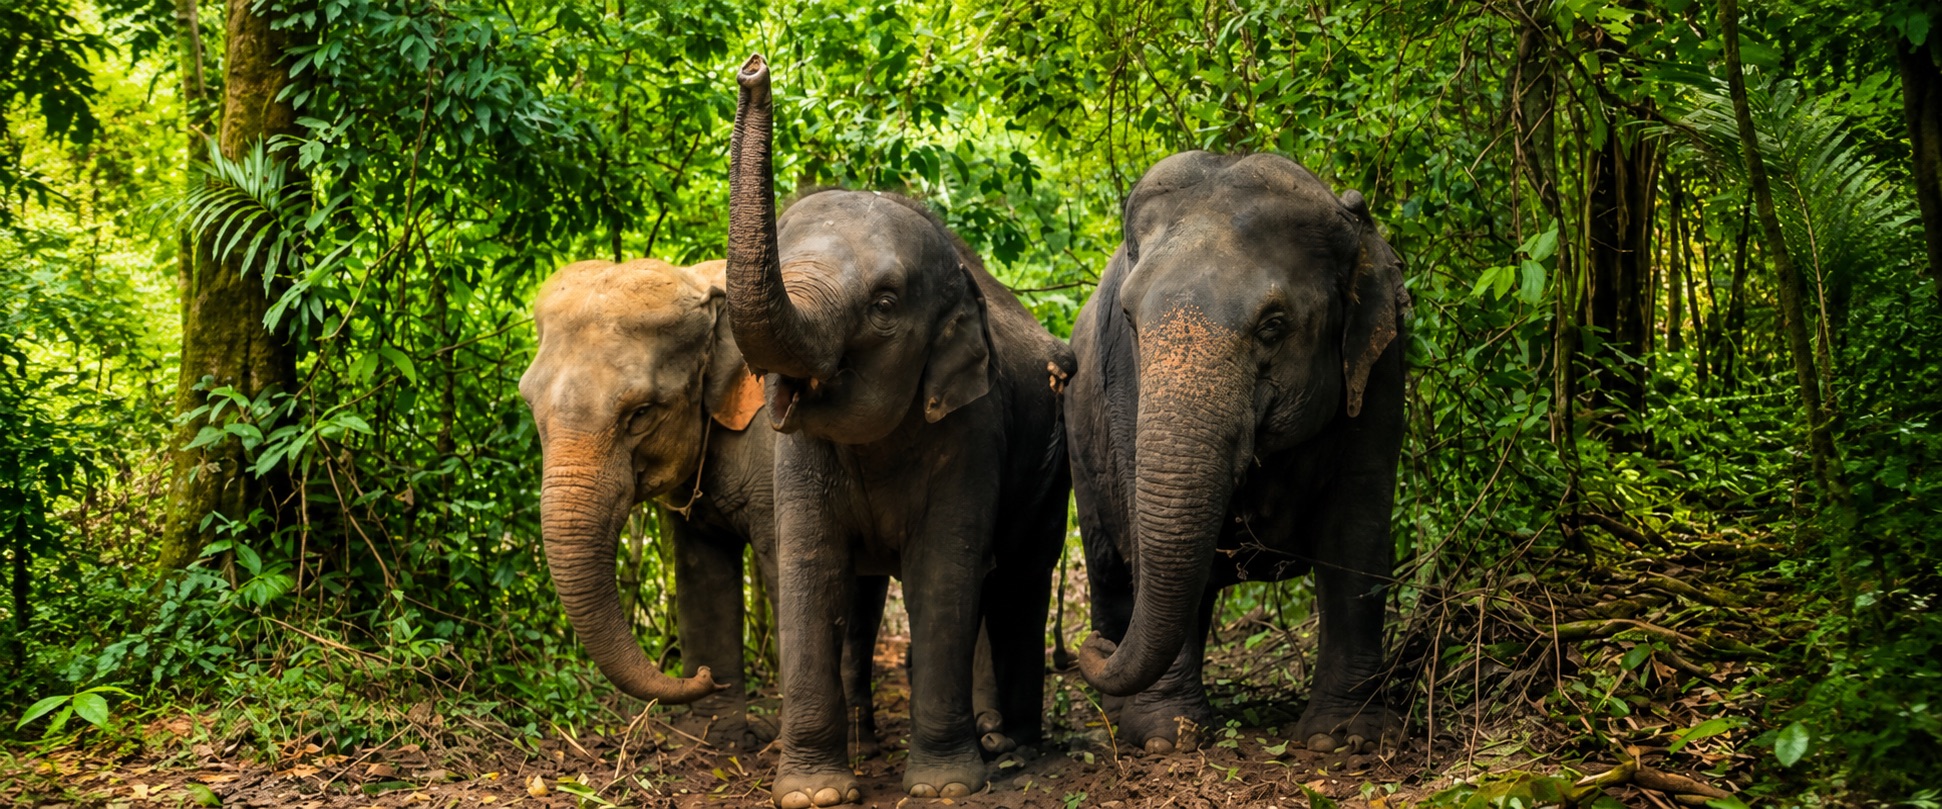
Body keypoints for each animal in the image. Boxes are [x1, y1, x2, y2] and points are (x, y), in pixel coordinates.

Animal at [518, 257, 892, 752]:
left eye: (641, 413)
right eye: (530, 407)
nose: (702, 675)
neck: (704, 284)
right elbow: (702, 569)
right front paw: (719, 739)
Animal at [724, 55, 1075, 808]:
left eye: (885, 305)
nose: (753, 70)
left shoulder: (973, 428)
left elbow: (943, 571)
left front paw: (945, 786)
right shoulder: (801, 454)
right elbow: (810, 569)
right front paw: (814, 794)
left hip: (1053, 462)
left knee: (1018, 578)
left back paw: (1011, 746)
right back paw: (883, 741)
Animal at [1065, 151, 1410, 756]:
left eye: (1273, 326)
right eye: (1129, 318)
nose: (1094, 651)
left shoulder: (1381, 365)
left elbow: (1357, 532)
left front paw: (1343, 740)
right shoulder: (1123, 384)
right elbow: (1143, 528)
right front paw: (1165, 740)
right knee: (1111, 564)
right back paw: (1119, 712)